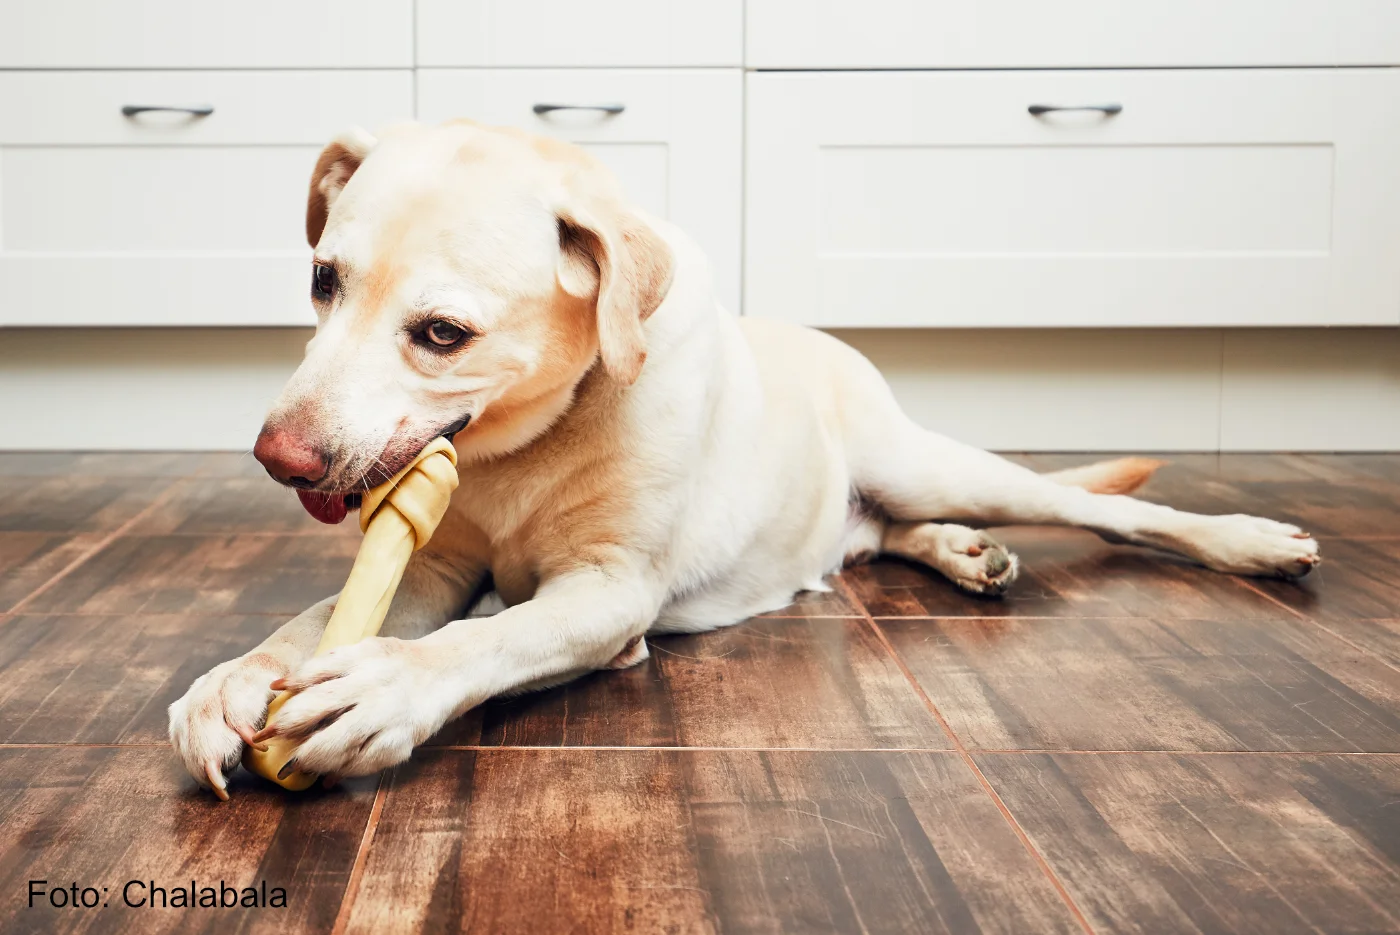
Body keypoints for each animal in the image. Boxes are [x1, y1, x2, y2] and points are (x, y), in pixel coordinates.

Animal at [166, 122, 1321, 795]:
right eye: (322, 280)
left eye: (442, 333)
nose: (275, 456)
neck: (524, 444)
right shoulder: (433, 561)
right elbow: (316, 618)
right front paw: (236, 677)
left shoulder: (610, 591)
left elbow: (483, 639)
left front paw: (383, 688)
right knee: (887, 534)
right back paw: (962, 554)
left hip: (933, 460)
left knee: (1106, 510)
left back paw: (1249, 540)